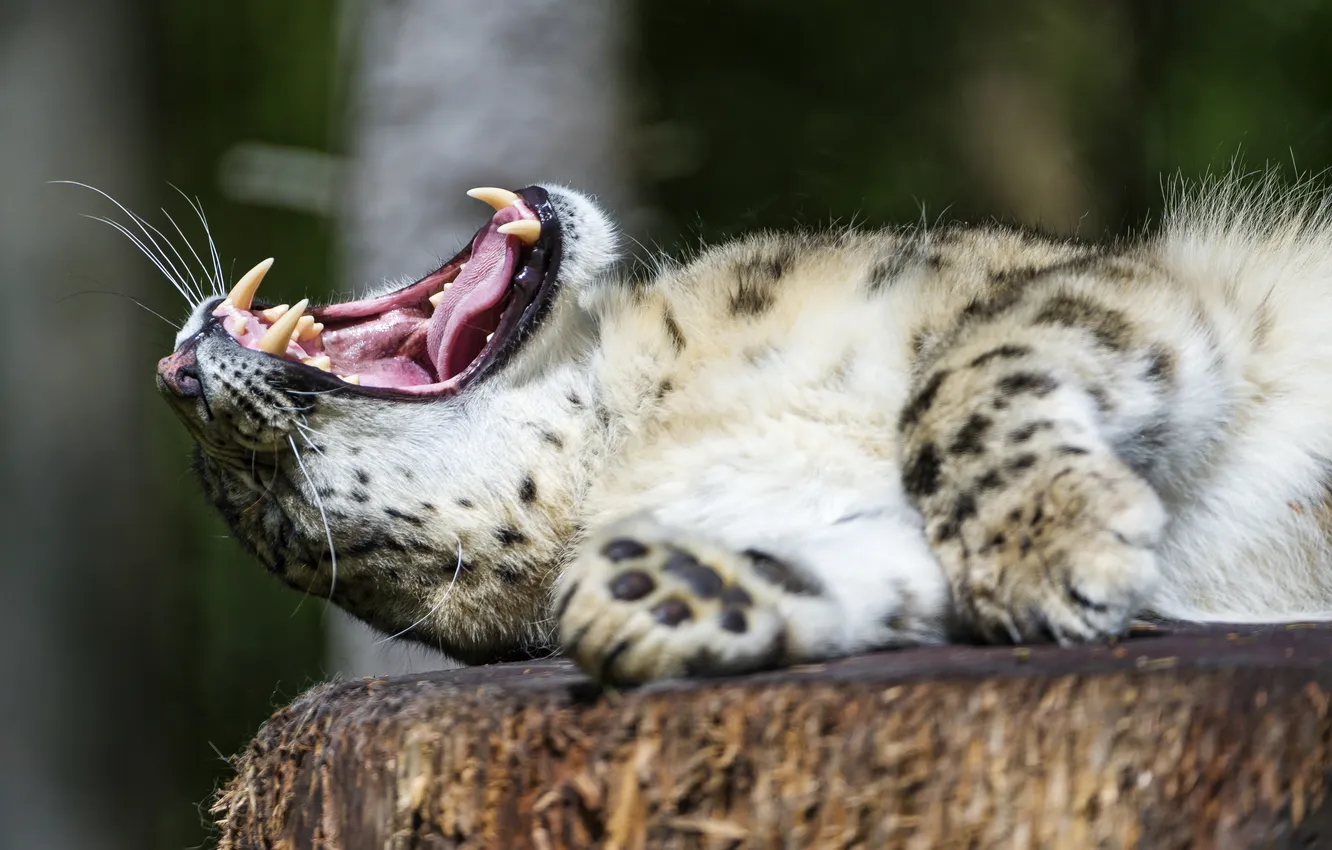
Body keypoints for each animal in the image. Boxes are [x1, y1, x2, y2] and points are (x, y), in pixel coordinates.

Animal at [155, 179, 1332, 687]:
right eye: (261, 497)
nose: (175, 377)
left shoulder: (1067, 287)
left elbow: (962, 381)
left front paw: (1046, 540)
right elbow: (876, 571)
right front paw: (663, 593)